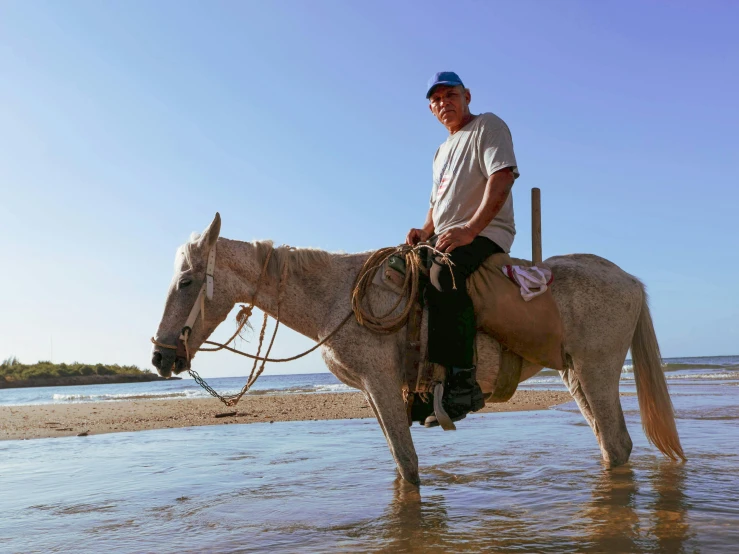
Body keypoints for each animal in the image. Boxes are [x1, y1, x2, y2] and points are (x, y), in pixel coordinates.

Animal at [152, 213, 688, 480]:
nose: (161, 357)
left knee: (617, 444)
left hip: (597, 371)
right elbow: (399, 461)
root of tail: (629, 280)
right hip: (575, 374)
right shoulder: (374, 392)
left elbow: (408, 466)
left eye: (186, 281)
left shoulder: (381, 383)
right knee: (610, 447)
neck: (337, 296)